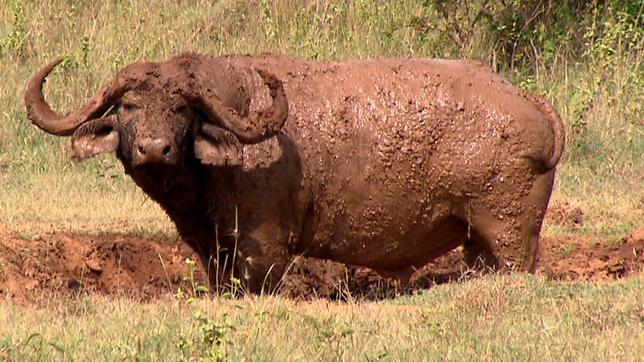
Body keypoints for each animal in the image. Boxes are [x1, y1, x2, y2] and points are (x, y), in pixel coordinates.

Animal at [23, 53, 564, 292]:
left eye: (181, 109)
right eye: (129, 106)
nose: (155, 149)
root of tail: (533, 105)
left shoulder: (265, 248)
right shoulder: (213, 251)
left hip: (510, 236)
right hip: (477, 245)